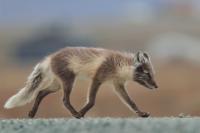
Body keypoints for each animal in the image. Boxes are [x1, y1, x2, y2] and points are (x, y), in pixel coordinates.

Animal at [3, 47, 158, 118]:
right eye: (147, 74)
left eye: (153, 74)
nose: (157, 86)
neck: (118, 65)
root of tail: (50, 57)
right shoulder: (97, 79)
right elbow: (91, 101)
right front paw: (82, 113)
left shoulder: (117, 85)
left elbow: (131, 103)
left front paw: (141, 113)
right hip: (68, 82)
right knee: (64, 100)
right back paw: (75, 113)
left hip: (56, 85)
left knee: (40, 93)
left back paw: (32, 113)